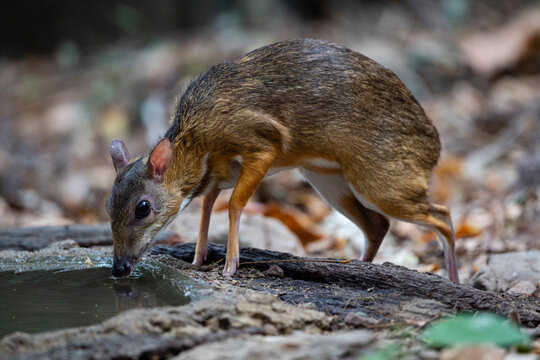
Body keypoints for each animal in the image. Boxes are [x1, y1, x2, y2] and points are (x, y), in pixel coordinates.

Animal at [106, 38, 460, 282]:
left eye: (142, 208)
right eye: (108, 207)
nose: (119, 267)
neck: (199, 141)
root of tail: (434, 146)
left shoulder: (262, 145)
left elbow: (233, 205)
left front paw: (230, 267)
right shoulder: (217, 176)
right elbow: (207, 208)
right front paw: (197, 260)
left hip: (381, 180)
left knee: (442, 215)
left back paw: (455, 282)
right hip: (329, 181)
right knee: (379, 226)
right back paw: (359, 267)